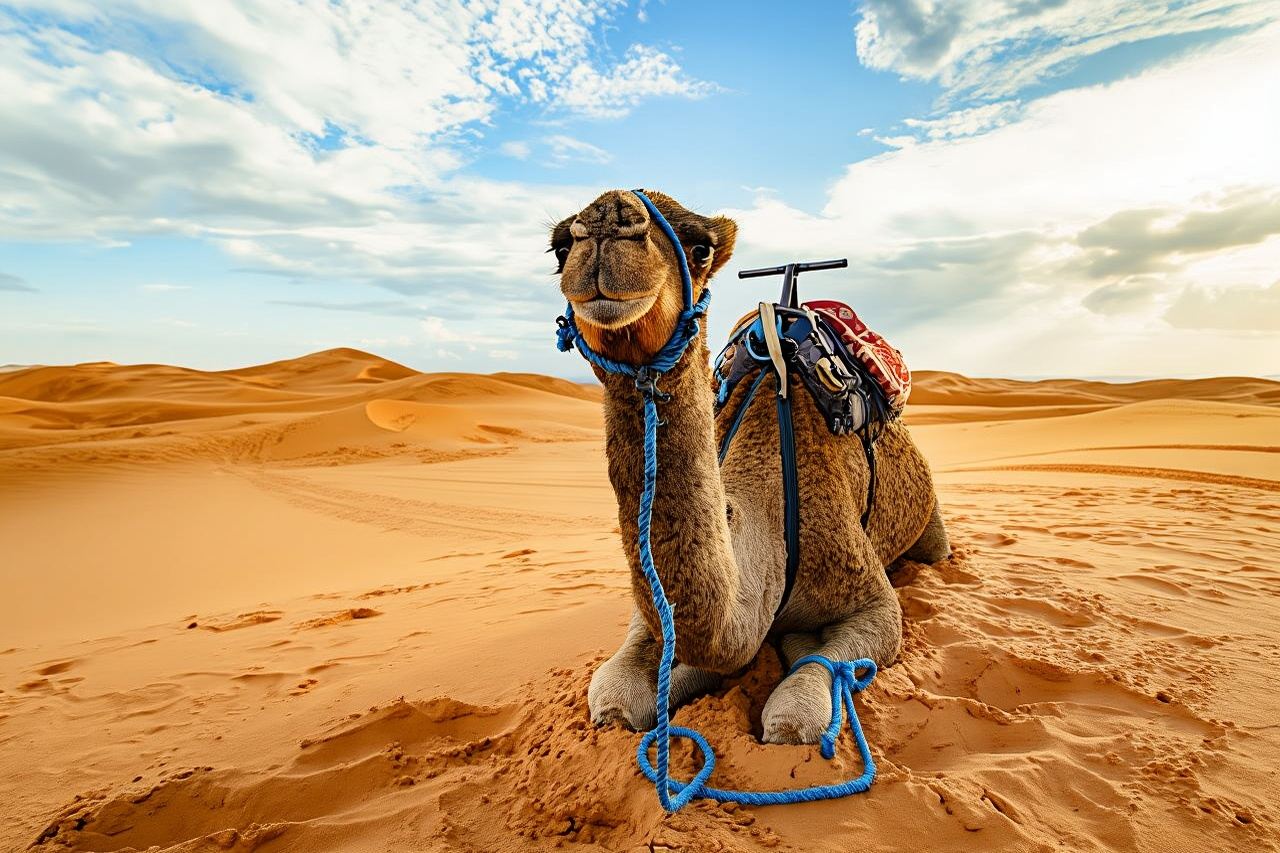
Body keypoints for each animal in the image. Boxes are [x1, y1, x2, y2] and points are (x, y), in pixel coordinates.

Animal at [550, 189, 949, 744]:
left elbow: (795, 715)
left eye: (700, 248)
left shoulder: (869, 594)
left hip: (930, 519)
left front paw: (797, 666)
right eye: (560, 247)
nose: (610, 219)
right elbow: (616, 696)